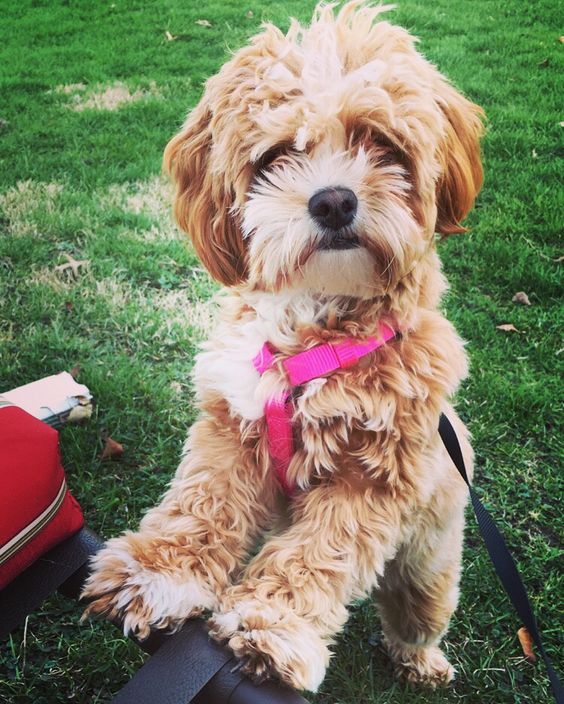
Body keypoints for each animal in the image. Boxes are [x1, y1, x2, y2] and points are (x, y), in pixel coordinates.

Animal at [83, 1, 484, 692]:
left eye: (380, 143)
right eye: (273, 156)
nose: (334, 199)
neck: (313, 338)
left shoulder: (372, 480)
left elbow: (317, 553)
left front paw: (271, 627)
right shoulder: (231, 426)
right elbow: (200, 505)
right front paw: (158, 575)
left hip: (429, 561)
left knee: (416, 615)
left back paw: (423, 662)